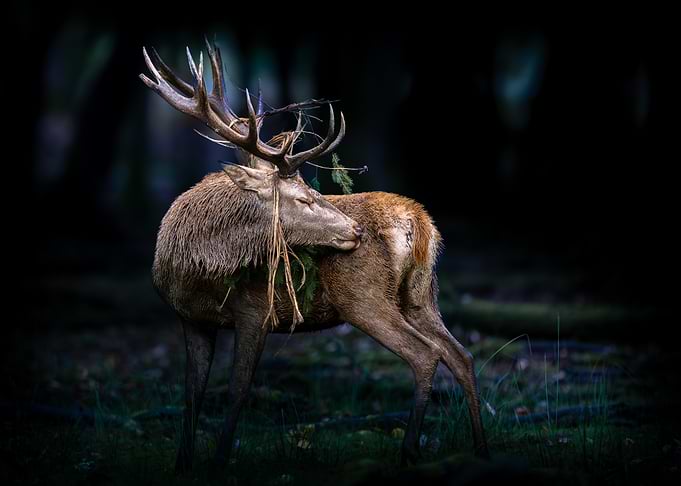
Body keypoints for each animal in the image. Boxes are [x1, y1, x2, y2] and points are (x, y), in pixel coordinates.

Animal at [140, 40, 489, 473]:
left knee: (426, 355)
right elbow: (192, 393)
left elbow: (238, 389)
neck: (194, 272)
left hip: (365, 299)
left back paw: (410, 450)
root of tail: (420, 223)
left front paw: (220, 460)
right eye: (305, 198)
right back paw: (480, 448)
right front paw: (182, 463)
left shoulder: (255, 310)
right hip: (422, 295)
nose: (355, 231)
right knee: (461, 355)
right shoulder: (190, 319)